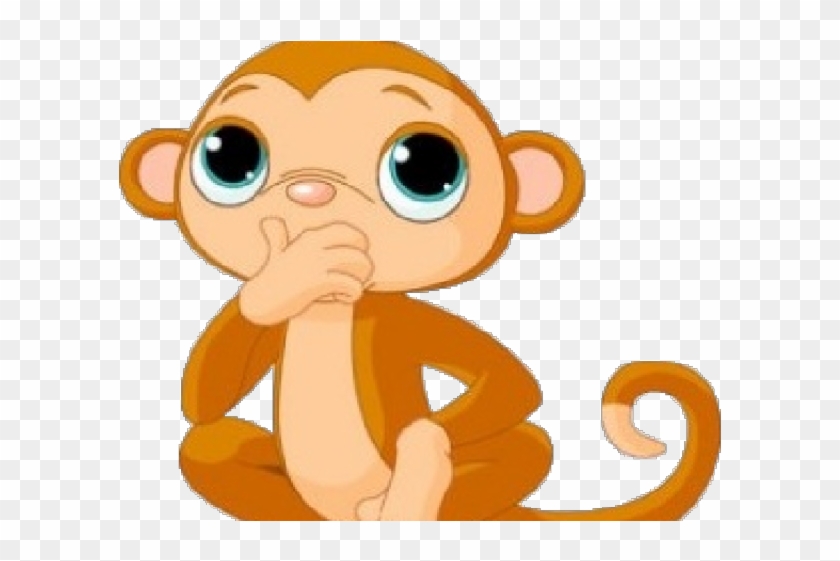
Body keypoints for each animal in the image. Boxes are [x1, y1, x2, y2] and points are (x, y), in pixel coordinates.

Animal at [118, 41, 721, 521]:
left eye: (427, 166)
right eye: (228, 152)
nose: (311, 192)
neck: (345, 307)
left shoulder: (407, 319)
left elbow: (512, 387)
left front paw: (420, 446)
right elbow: (201, 401)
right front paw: (287, 277)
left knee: (528, 445)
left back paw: (411, 493)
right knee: (211, 444)